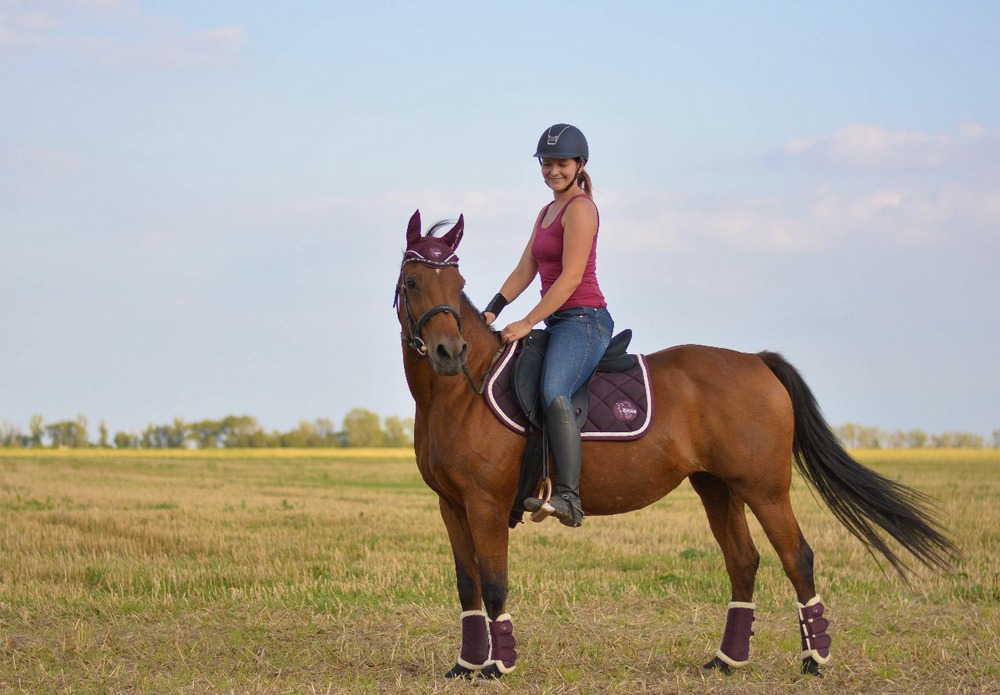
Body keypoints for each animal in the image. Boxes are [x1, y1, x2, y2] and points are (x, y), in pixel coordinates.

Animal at [394, 211, 956, 680]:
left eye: (459, 285)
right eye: (413, 281)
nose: (449, 352)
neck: (460, 393)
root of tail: (756, 360)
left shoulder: (486, 503)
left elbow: (493, 582)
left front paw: (498, 666)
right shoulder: (452, 505)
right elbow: (467, 583)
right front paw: (467, 665)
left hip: (765, 488)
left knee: (797, 556)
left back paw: (815, 659)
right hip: (717, 487)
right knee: (744, 562)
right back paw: (728, 660)